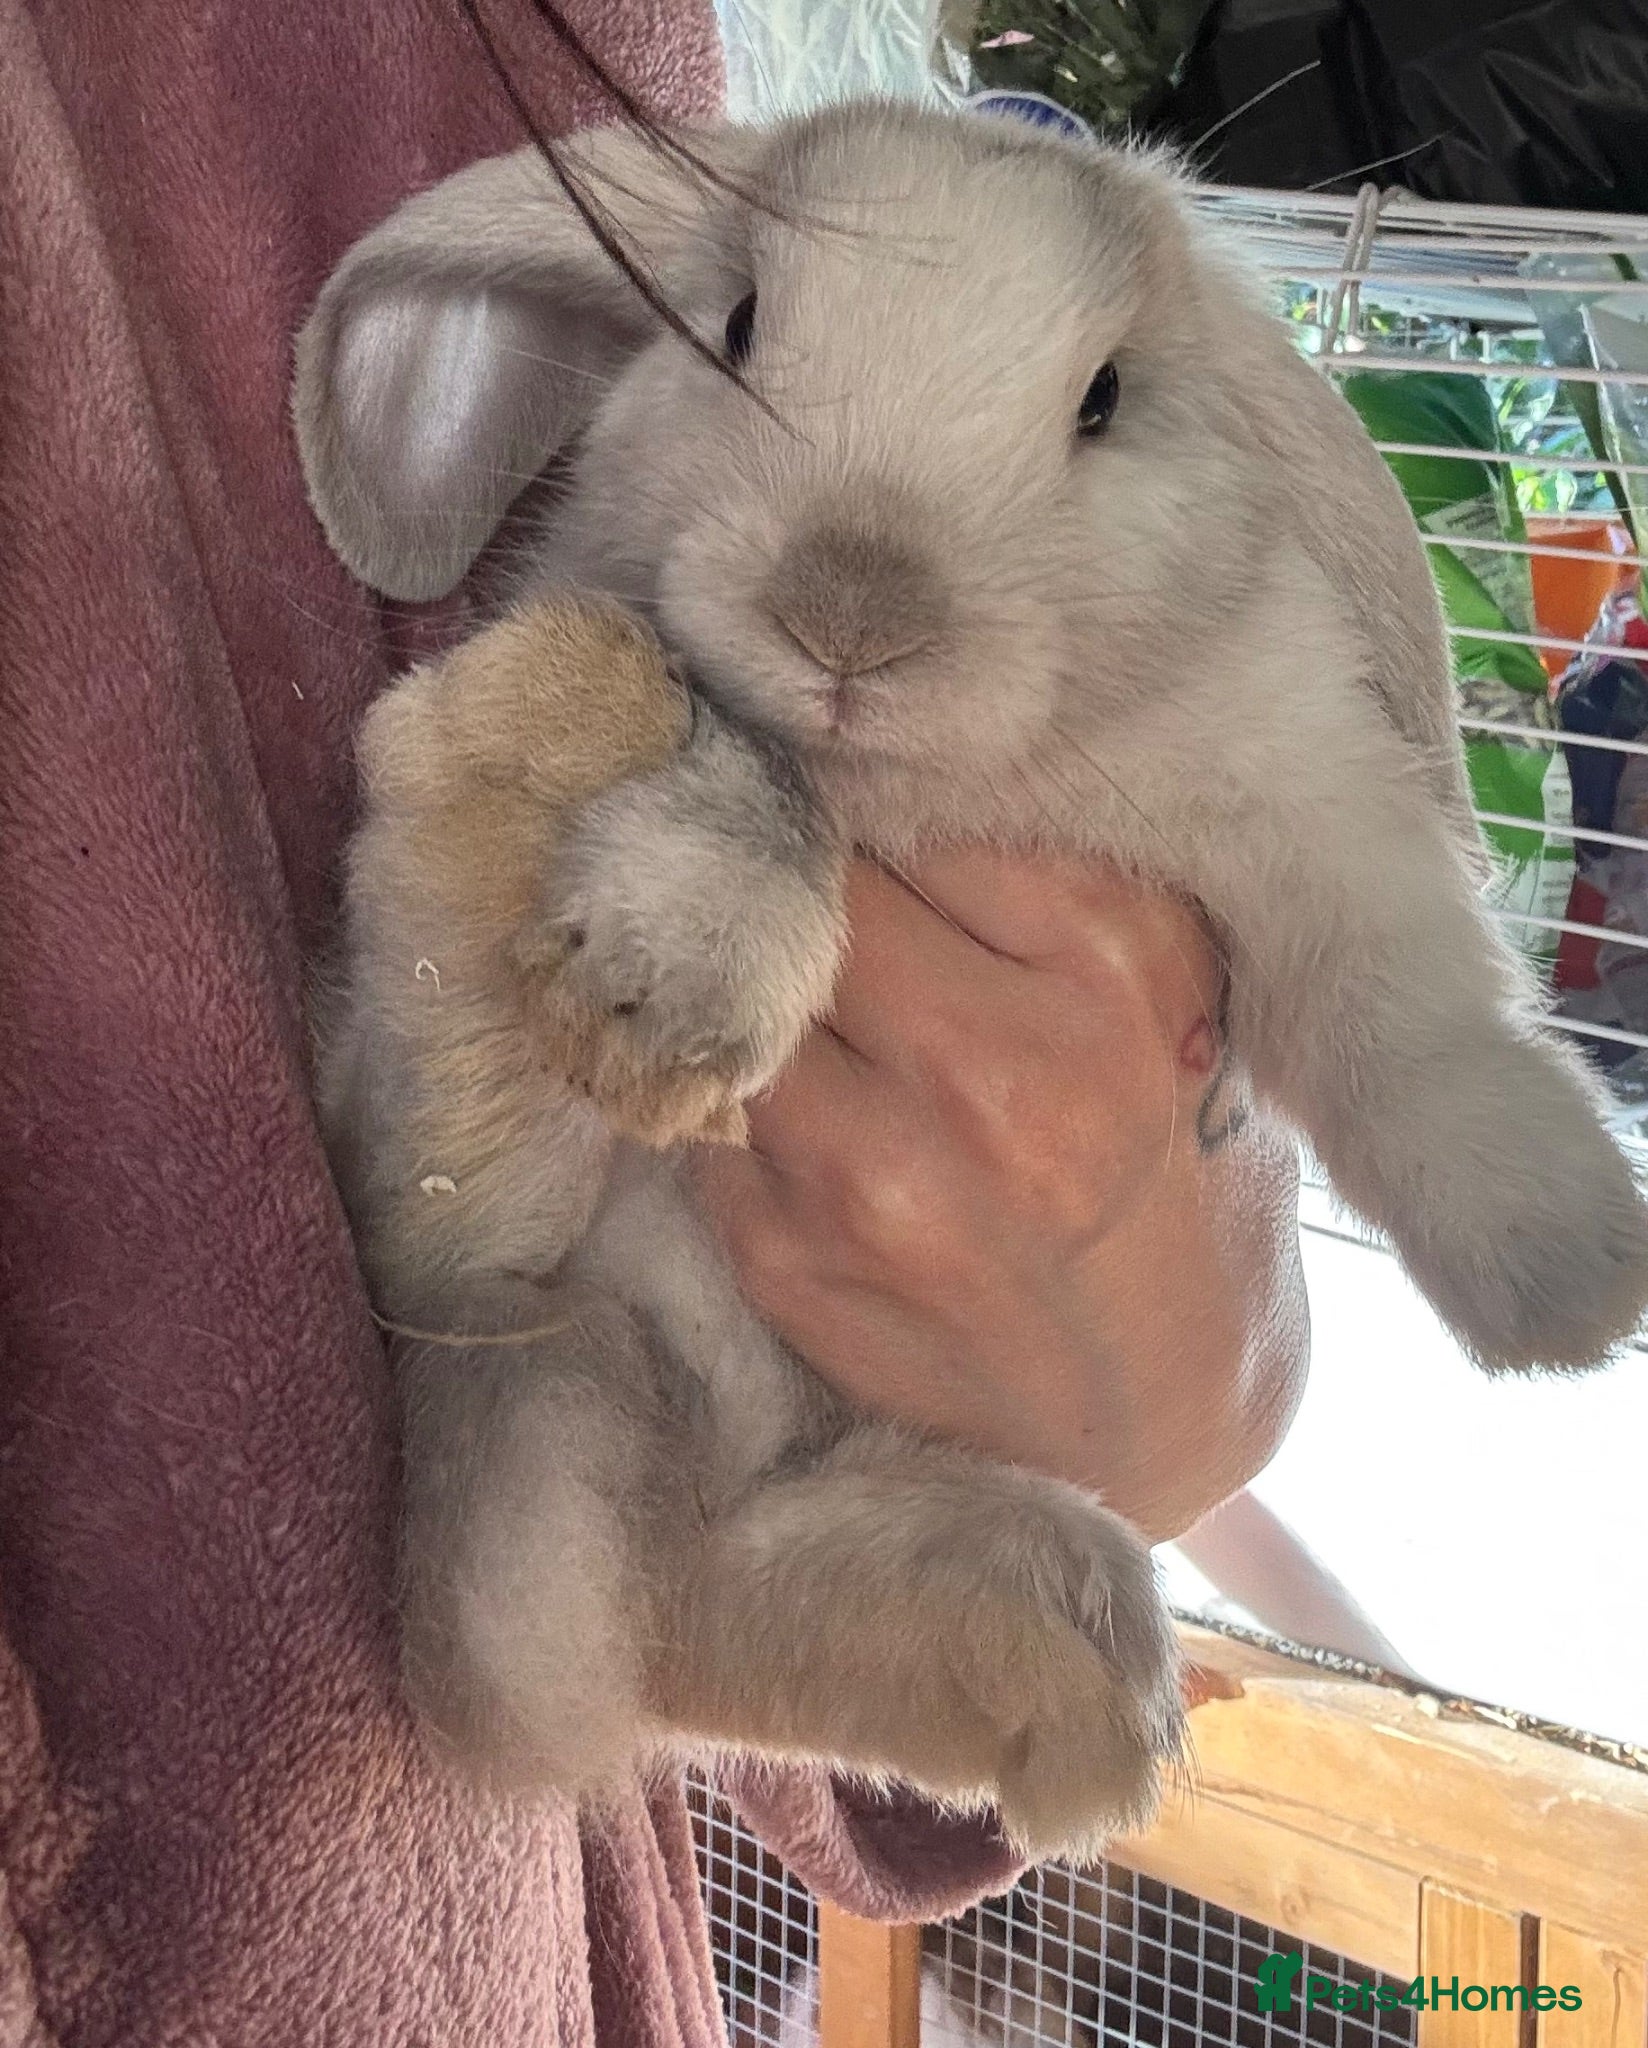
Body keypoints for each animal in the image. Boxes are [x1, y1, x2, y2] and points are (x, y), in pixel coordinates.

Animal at [293, 100, 1648, 1859]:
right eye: (734, 326)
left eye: (1106, 397)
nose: (850, 621)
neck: (964, 777)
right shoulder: (729, 726)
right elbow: (752, 794)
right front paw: (670, 999)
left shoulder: (1318, 824)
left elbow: (1410, 1028)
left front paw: (1576, 1287)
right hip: (555, 1345)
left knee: (703, 1617)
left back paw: (1061, 1687)